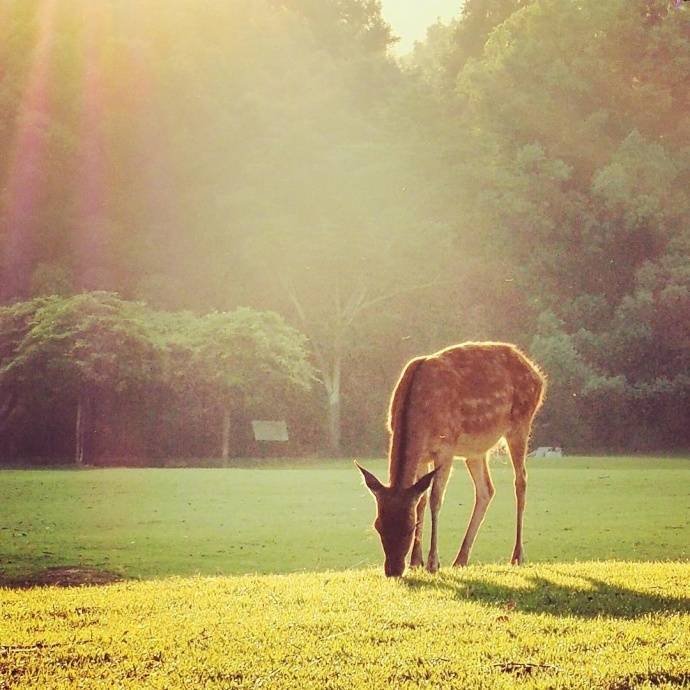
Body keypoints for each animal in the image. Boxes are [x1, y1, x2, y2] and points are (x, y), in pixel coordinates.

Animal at [354, 342, 544, 576]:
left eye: (409, 527)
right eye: (378, 525)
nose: (393, 570)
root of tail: (537, 375)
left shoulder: (446, 447)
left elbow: (435, 499)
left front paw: (432, 563)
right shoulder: (423, 456)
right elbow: (421, 500)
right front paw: (416, 561)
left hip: (521, 423)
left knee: (521, 481)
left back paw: (517, 555)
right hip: (475, 451)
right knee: (486, 490)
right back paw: (460, 559)